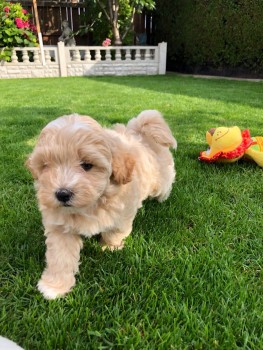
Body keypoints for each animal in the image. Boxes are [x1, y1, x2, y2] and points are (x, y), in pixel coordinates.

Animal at [26, 110, 177, 298]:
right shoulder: (60, 226)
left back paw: (163, 197)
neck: (90, 205)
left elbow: (115, 231)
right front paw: (54, 286)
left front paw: (110, 247)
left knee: (166, 182)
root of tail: (142, 133)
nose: (62, 194)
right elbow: (60, 256)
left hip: (160, 180)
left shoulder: (123, 213)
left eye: (87, 165)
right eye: (46, 166)